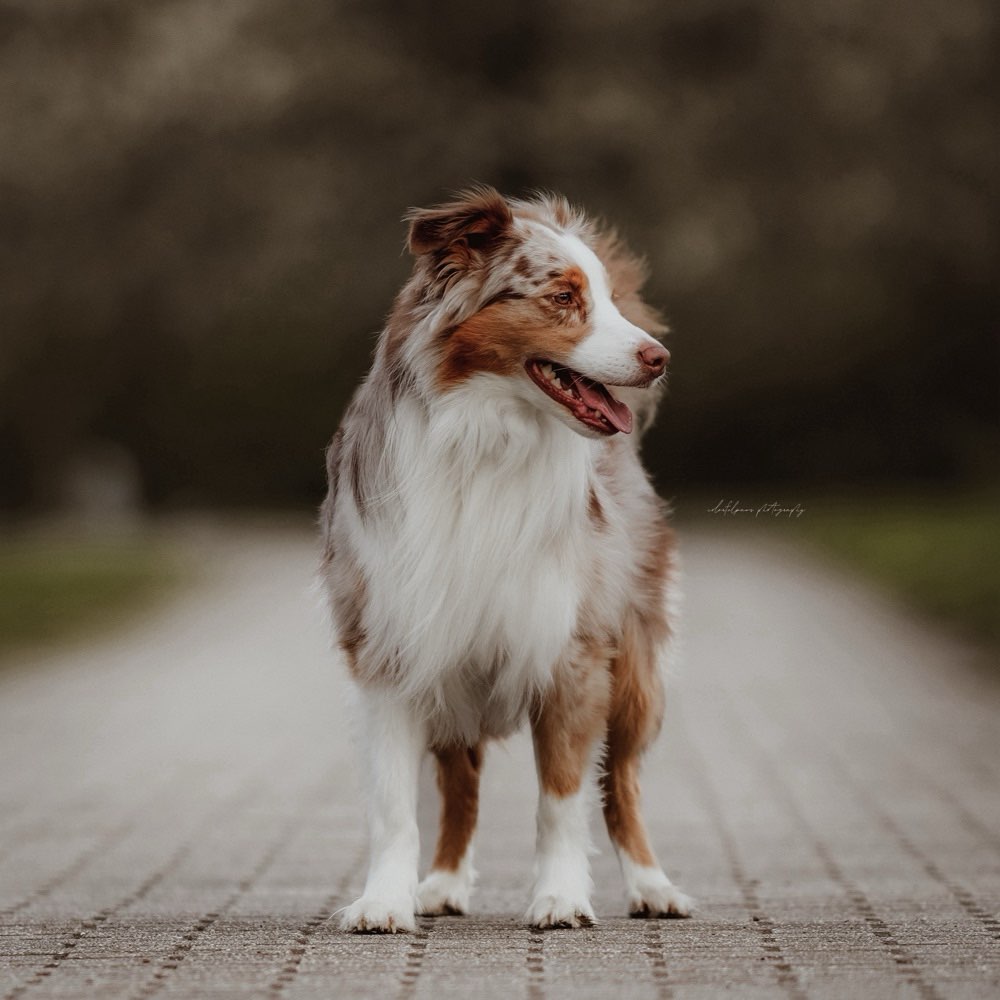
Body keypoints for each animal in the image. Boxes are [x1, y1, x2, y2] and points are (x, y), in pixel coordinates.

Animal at [324, 186, 692, 928]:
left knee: (623, 783)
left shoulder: (570, 649)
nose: (659, 356)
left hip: (636, 668)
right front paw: (384, 900)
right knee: (461, 783)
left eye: (609, 299)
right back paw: (441, 885)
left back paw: (652, 886)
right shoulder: (391, 647)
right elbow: (394, 805)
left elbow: (563, 797)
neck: (485, 438)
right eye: (563, 297)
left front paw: (560, 896)